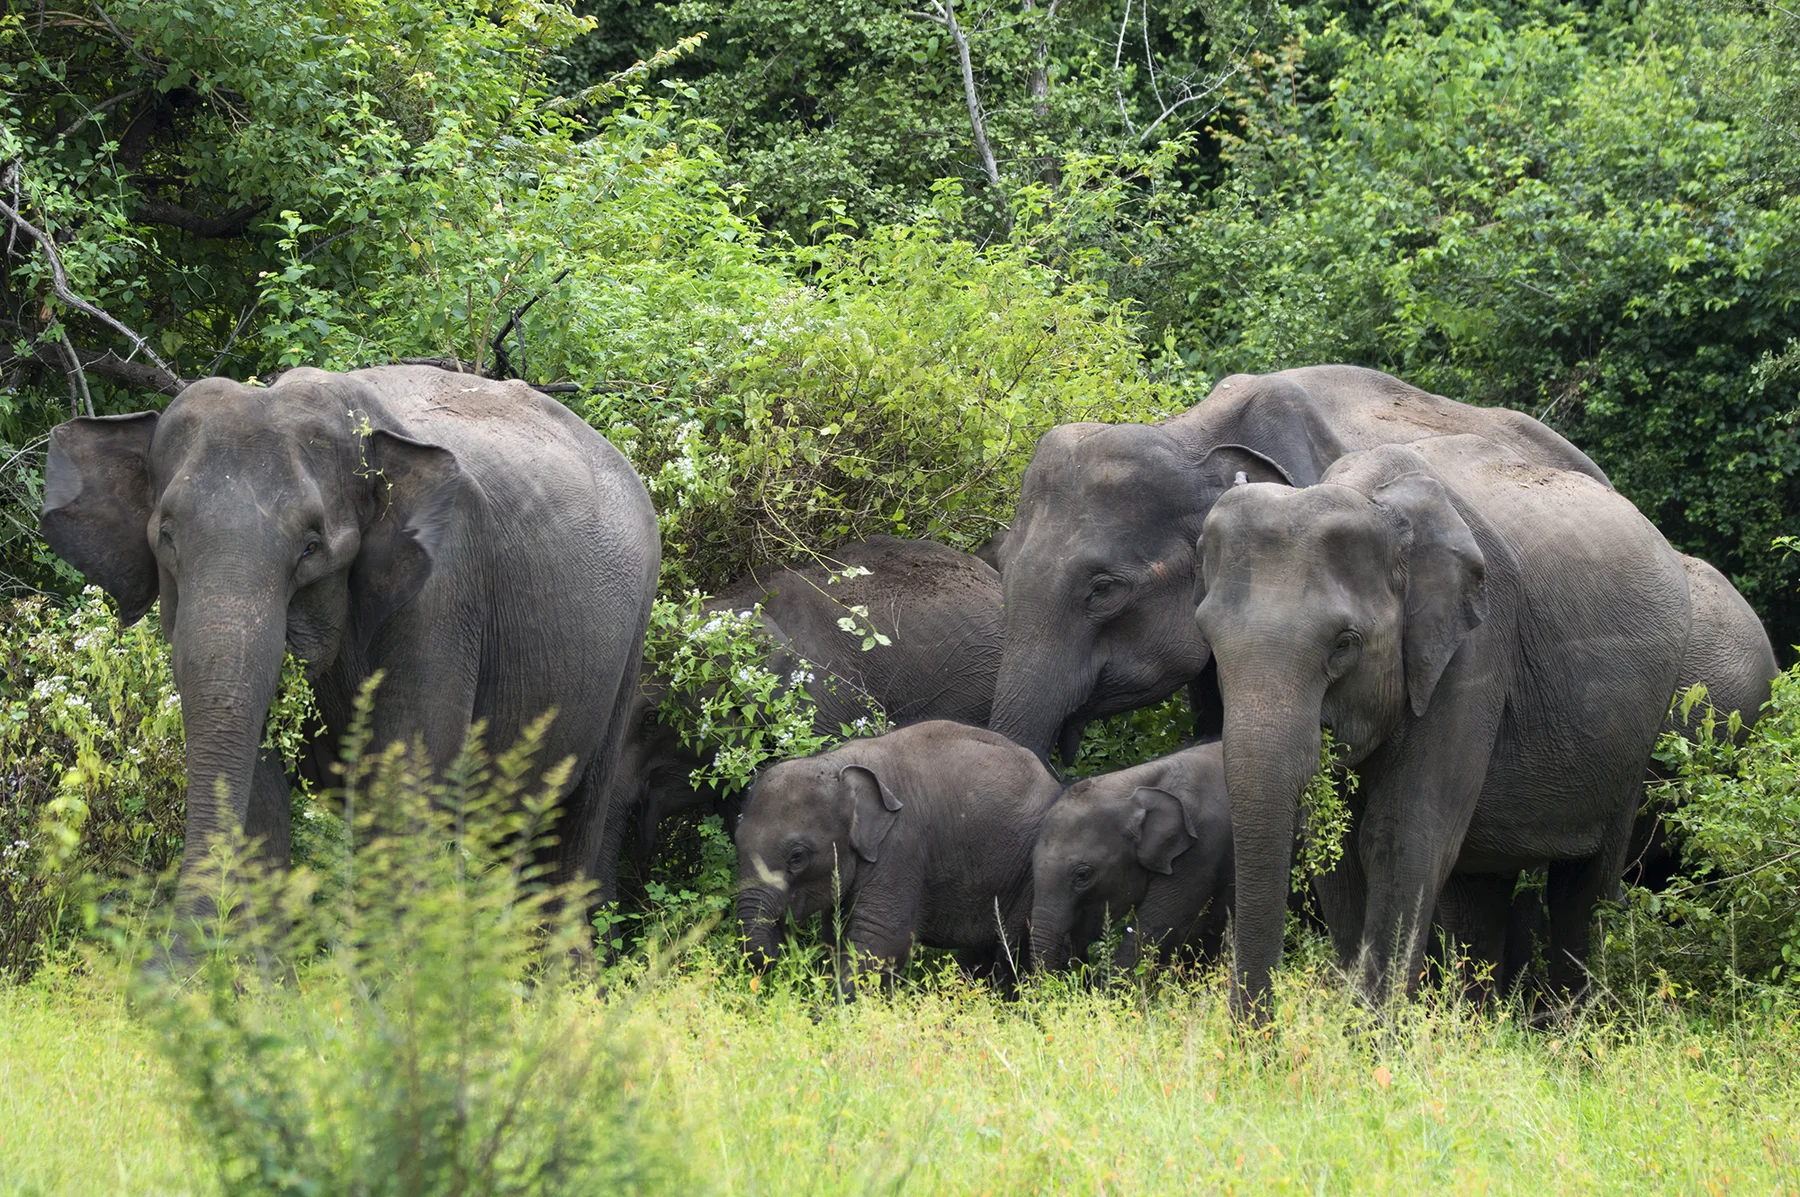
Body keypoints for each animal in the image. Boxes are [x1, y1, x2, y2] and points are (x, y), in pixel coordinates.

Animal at [39, 365, 660, 925]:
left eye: (311, 547)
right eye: (166, 537)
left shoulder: (445, 588)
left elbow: (406, 782)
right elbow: (261, 802)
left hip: (631, 641)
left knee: (571, 835)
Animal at [735, 720, 1062, 989]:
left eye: (797, 857)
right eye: (737, 841)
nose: (780, 956)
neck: (840, 763)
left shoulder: (902, 845)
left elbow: (882, 940)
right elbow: (836, 936)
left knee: (1013, 951)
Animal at [1192, 433, 1690, 1018]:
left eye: (1344, 644)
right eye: (1207, 636)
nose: (1257, 1038)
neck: (1373, 497)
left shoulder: (1473, 650)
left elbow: (1401, 837)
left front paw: (1369, 1035)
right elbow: (1335, 848)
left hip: (1639, 733)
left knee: (1586, 884)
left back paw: (1575, 1026)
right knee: (1479, 889)